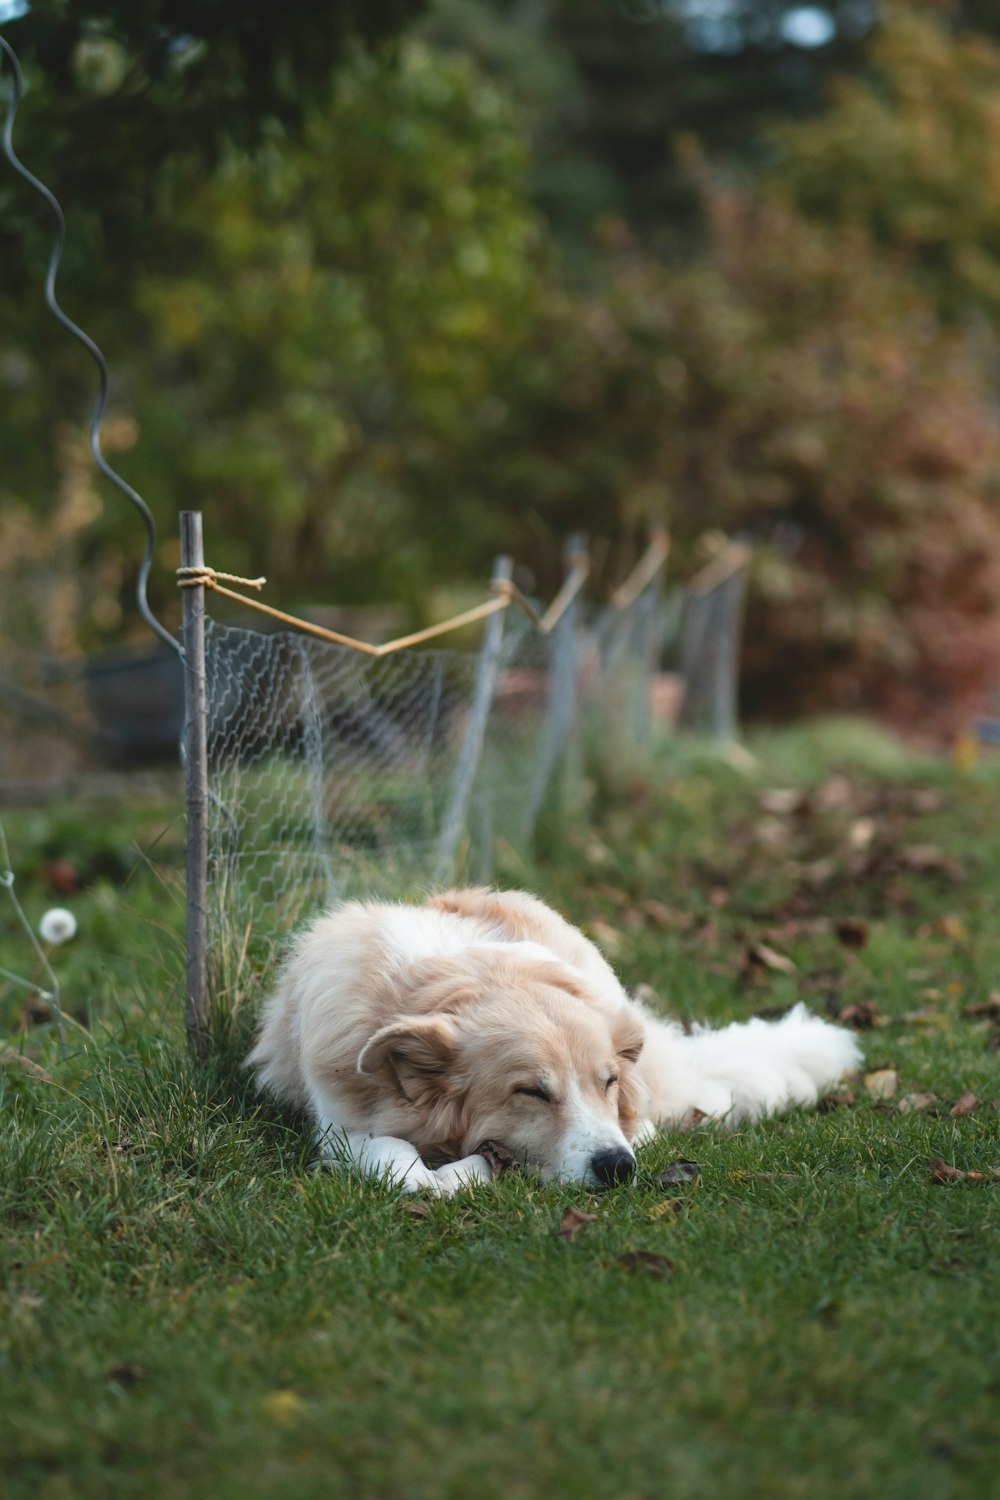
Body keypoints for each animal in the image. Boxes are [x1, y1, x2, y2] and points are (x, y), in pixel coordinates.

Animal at [250, 888, 863, 1194]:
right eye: (531, 1092)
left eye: (607, 1083)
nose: (619, 1168)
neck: (463, 979)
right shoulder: (339, 1127)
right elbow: (392, 1156)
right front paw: (439, 1175)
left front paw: (468, 1173)